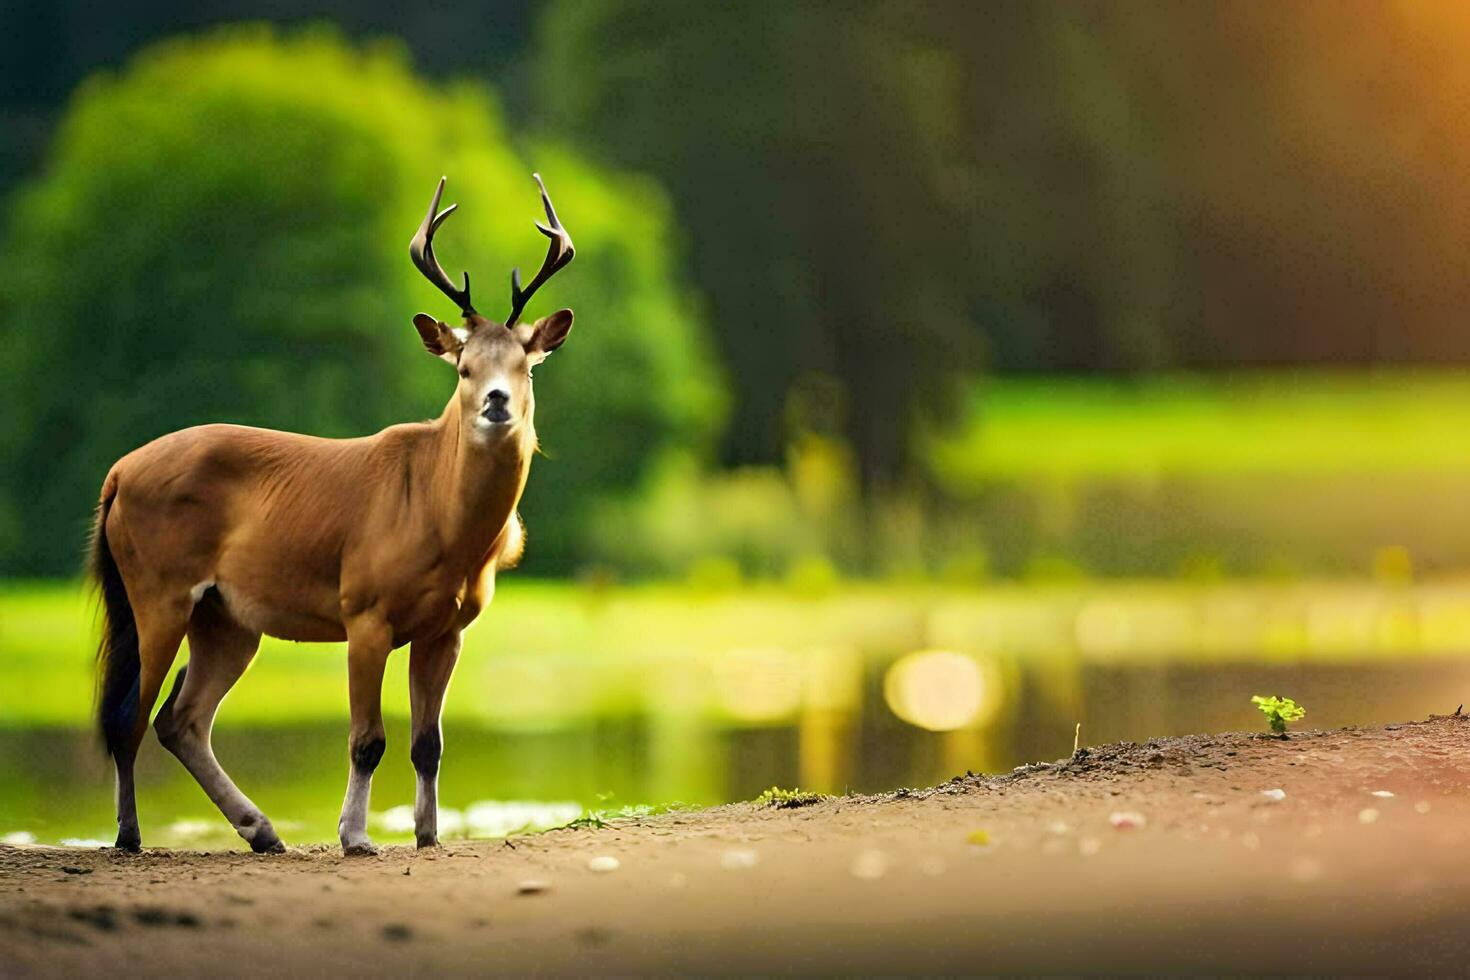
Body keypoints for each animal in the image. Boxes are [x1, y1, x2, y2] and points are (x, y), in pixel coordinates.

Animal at [88, 172, 576, 852]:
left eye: (525, 366)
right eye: (463, 368)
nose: (496, 402)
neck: (443, 522)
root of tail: (117, 473)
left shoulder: (448, 627)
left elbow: (429, 745)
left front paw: (428, 835)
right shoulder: (365, 610)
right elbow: (367, 740)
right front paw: (356, 836)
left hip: (227, 618)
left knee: (179, 719)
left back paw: (262, 830)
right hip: (157, 589)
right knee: (130, 714)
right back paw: (130, 834)